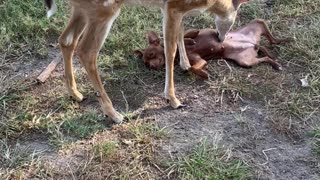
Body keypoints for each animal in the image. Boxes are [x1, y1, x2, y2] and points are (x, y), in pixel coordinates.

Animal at [43, 0, 249, 123]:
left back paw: (76, 94)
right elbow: (170, 49)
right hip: (103, 8)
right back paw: (114, 114)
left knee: (66, 40)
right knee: (86, 51)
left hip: (82, 9)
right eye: (234, 18)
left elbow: (181, 32)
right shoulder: (173, 6)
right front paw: (173, 99)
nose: (221, 38)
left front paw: (185, 64)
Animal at [135, 18, 288, 79]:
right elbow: (193, 67)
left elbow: (186, 35)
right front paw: (203, 73)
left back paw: (284, 40)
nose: (152, 66)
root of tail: (253, 44)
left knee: (269, 35)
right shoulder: (199, 61)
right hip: (246, 61)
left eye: (152, 54)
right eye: (146, 64)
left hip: (255, 25)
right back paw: (275, 63)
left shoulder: (186, 33)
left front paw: (190, 38)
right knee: (265, 56)